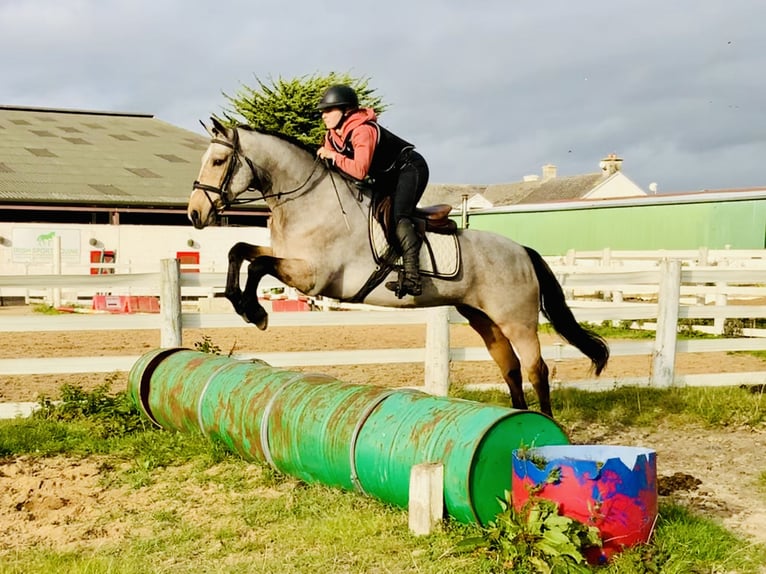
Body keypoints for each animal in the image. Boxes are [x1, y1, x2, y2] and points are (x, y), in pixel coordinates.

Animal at [189, 119, 608, 418]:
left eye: (218, 161)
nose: (194, 213)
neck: (308, 201)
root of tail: (522, 251)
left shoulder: (312, 276)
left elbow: (258, 263)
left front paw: (255, 312)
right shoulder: (291, 260)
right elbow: (240, 251)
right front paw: (241, 303)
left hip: (516, 319)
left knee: (538, 370)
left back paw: (548, 429)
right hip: (484, 319)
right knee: (511, 369)